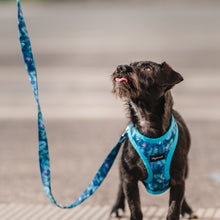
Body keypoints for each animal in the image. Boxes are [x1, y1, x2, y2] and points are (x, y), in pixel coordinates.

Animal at [111, 61, 196, 220]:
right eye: (130, 64)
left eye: (147, 68)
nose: (120, 67)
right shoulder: (129, 179)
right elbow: (135, 208)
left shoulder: (178, 180)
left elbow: (174, 209)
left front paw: (181, 210)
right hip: (121, 169)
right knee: (120, 187)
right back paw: (117, 208)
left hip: (185, 169)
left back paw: (187, 209)